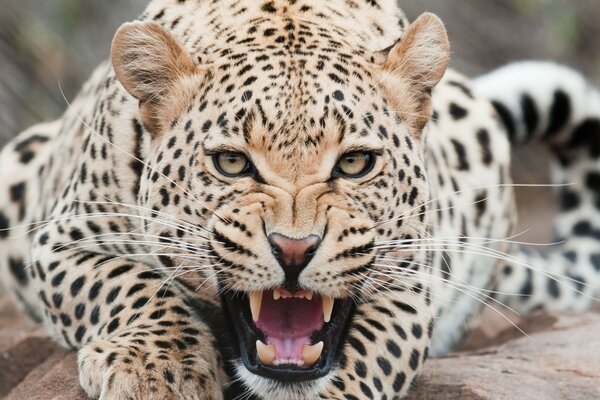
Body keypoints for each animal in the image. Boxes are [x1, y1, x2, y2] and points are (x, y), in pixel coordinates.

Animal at [1, 0, 600, 400]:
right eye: (232, 163)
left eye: (355, 163)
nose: (294, 249)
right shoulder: (61, 239)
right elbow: (127, 285)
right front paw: (157, 368)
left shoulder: (413, 282)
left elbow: (371, 357)